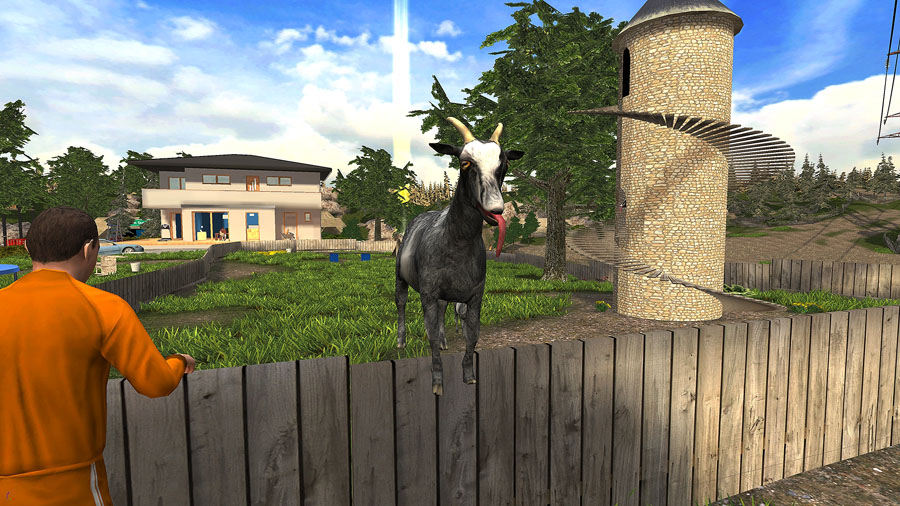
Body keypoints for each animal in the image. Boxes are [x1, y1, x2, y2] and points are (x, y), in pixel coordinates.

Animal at [395, 117, 524, 395]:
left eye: (505, 164)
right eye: (465, 163)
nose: (496, 209)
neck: (456, 241)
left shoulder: (475, 296)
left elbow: (472, 335)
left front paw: (469, 376)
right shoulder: (428, 294)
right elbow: (430, 334)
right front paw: (437, 383)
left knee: (444, 310)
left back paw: (445, 341)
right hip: (400, 274)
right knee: (400, 302)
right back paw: (400, 341)